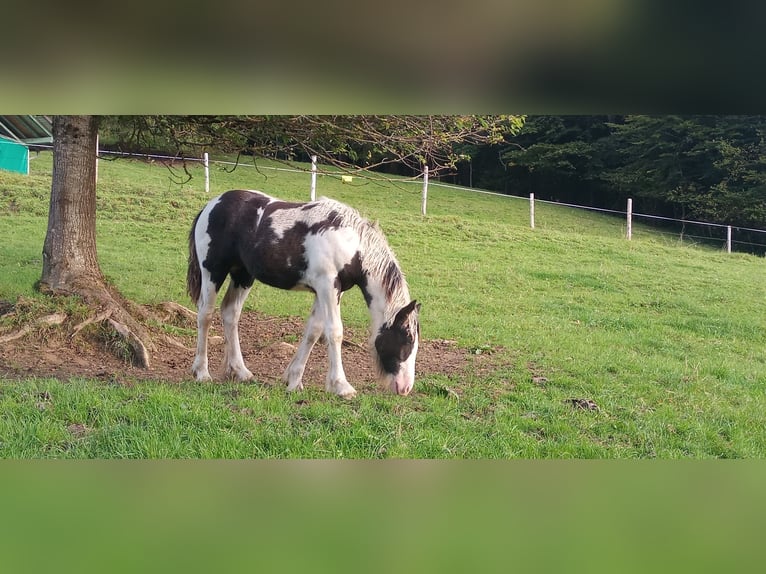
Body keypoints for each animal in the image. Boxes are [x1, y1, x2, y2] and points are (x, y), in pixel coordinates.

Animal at [188, 191, 424, 398]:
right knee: (205, 314)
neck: (350, 245)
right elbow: (334, 331)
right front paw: (341, 386)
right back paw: (201, 372)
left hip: (243, 275)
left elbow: (313, 331)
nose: (405, 388)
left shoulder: (328, 291)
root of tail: (211, 205)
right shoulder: (327, 285)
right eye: (408, 339)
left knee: (230, 313)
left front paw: (293, 381)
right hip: (213, 271)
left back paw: (241, 371)